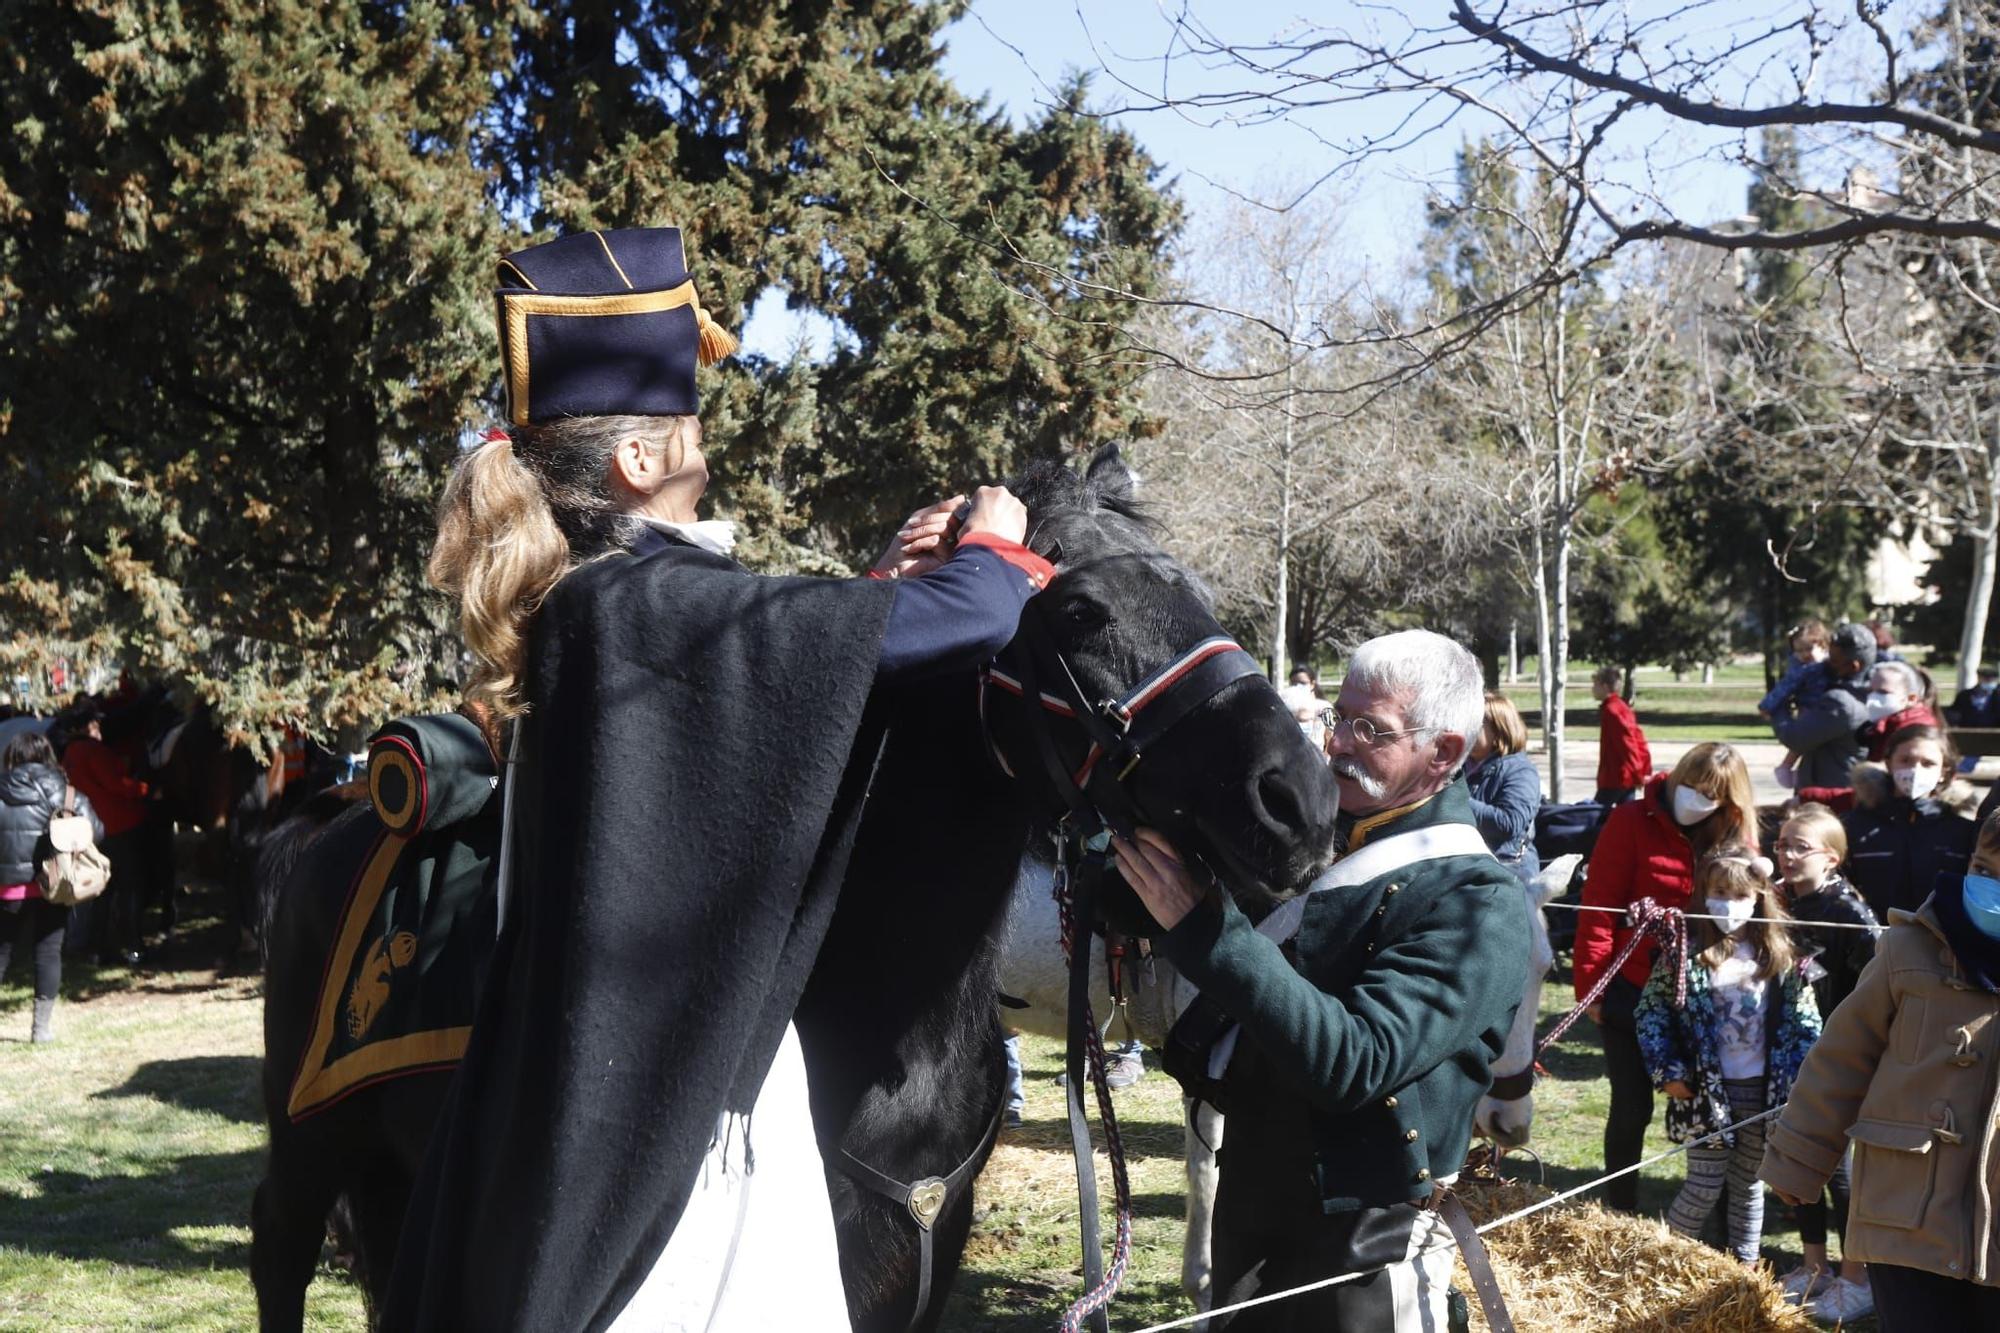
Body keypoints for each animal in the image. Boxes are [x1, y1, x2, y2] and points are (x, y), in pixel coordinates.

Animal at [254, 440, 1344, 1320]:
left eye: (1195, 588)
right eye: (1077, 607)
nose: (1300, 798)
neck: (879, 1019)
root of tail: (337, 812)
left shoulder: (924, 1258)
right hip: (309, 1136)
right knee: (280, 1253)